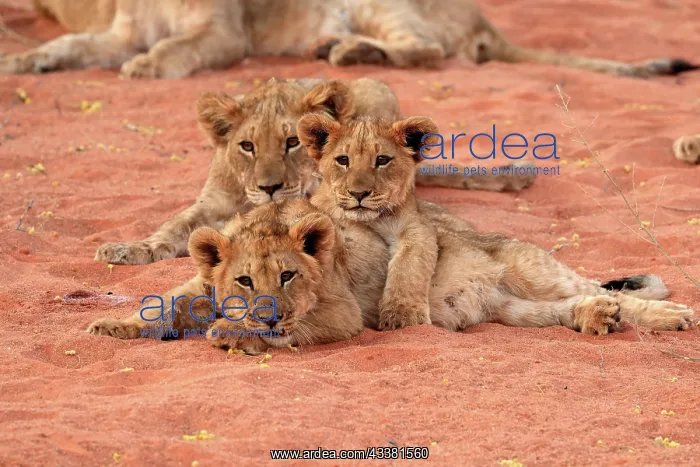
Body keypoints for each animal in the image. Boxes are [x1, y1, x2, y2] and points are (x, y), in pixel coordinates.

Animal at [94, 78, 534, 266]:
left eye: (292, 142)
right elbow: (172, 226)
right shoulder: (210, 204)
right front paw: (131, 249)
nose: (269, 187)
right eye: (247, 146)